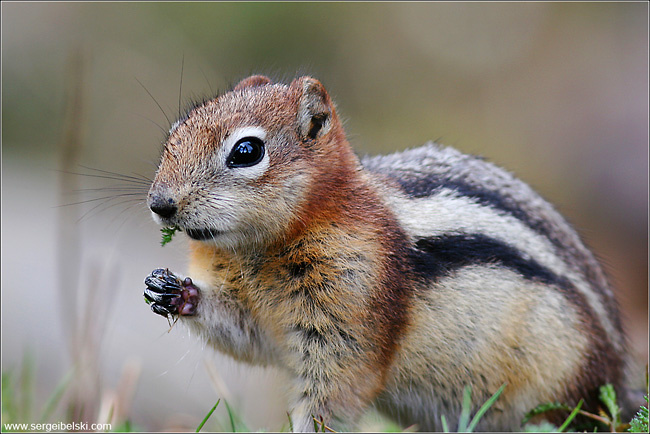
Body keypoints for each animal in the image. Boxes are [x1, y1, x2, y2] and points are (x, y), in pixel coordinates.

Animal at [143, 75, 628, 431]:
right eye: (176, 131)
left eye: (247, 151)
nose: (159, 204)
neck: (254, 251)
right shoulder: (256, 312)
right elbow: (244, 333)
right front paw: (172, 291)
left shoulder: (350, 309)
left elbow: (336, 390)